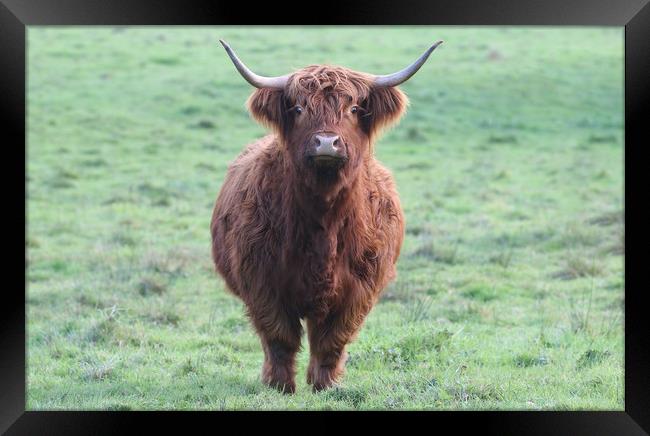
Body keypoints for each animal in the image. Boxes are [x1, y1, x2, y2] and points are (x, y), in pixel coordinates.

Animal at [210, 41, 442, 394]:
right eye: (299, 109)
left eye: (354, 109)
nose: (326, 143)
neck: (323, 220)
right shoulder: (263, 284)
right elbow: (279, 338)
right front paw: (280, 386)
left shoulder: (358, 291)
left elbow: (332, 340)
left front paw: (325, 385)